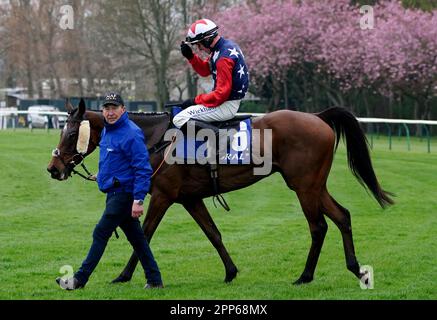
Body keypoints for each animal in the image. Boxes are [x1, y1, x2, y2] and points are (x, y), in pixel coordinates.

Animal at [46, 99, 392, 284]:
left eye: (72, 133)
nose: (53, 168)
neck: (156, 140)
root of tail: (317, 117)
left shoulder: (163, 197)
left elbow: (144, 234)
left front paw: (125, 275)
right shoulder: (190, 199)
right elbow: (213, 234)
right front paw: (230, 271)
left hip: (304, 185)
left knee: (318, 225)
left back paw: (305, 276)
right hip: (314, 184)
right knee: (342, 216)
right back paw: (355, 268)